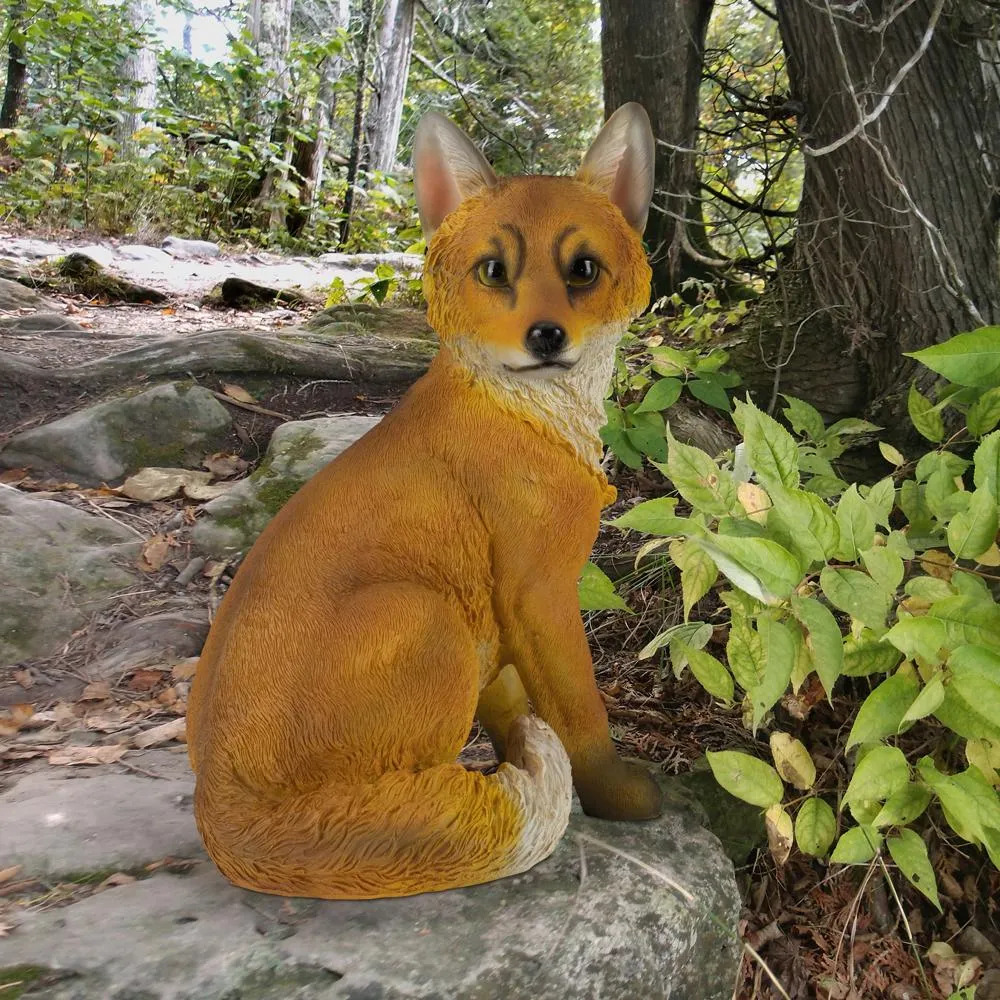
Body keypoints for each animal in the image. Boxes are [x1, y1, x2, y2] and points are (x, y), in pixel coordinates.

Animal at [186, 103, 663, 901]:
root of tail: (221, 817)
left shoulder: (498, 614)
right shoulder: (538, 592)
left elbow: (514, 708)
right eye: (495, 271)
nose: (545, 336)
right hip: (426, 613)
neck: (531, 417)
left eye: (583, 269)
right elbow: (581, 715)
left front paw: (519, 759)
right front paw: (616, 797)